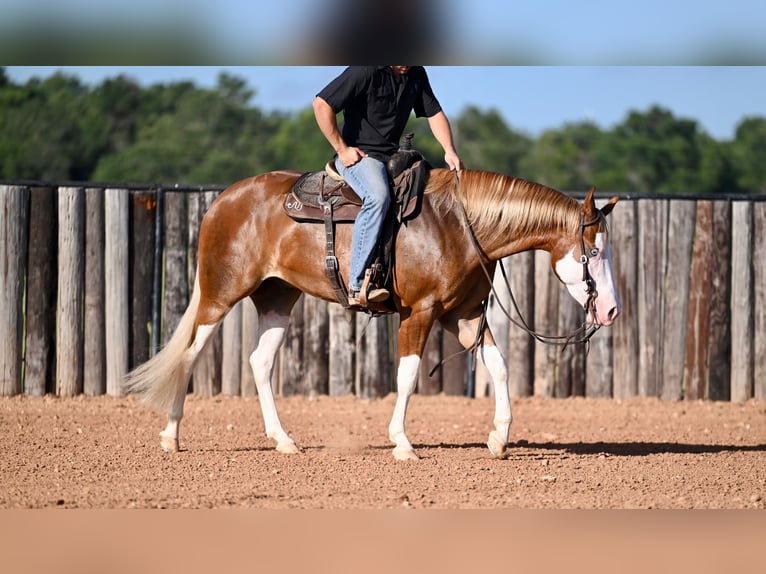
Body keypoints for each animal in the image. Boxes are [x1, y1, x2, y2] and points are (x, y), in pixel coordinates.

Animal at [124, 169, 616, 462]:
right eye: (592, 252)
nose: (611, 310)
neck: (458, 225)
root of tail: (222, 200)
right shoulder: (420, 312)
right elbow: (408, 375)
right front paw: (402, 443)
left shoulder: (462, 316)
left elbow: (498, 365)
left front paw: (498, 439)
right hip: (220, 295)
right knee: (190, 356)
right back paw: (171, 436)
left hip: (277, 297)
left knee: (260, 362)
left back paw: (284, 441)